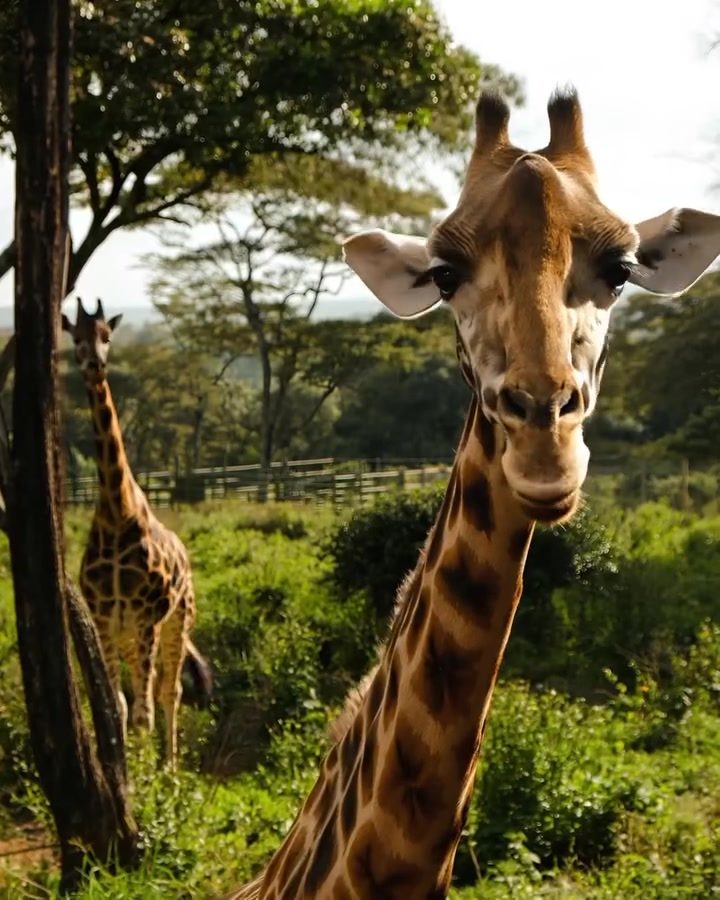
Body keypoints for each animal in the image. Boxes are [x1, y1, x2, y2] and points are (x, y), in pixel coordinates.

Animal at [61, 297, 212, 769]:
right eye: (75, 337)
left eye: (107, 335)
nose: (95, 364)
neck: (116, 510)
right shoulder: (106, 620)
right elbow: (118, 707)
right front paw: (127, 772)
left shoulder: (147, 616)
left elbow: (144, 708)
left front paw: (149, 782)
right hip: (131, 635)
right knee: (149, 692)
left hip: (177, 620)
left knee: (171, 689)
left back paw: (171, 769)